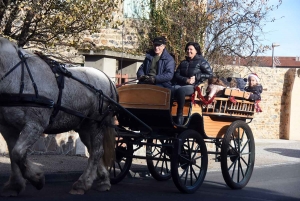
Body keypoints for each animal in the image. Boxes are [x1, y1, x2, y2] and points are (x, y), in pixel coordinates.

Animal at [0, 37, 117, 196]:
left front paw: (37, 178)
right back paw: (104, 180)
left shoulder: (35, 125)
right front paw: (15, 185)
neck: (17, 76)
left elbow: (18, 153)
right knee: (94, 150)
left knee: (98, 151)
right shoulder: (8, 127)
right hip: (85, 127)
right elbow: (13, 155)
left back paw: (82, 183)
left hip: (97, 124)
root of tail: (108, 79)